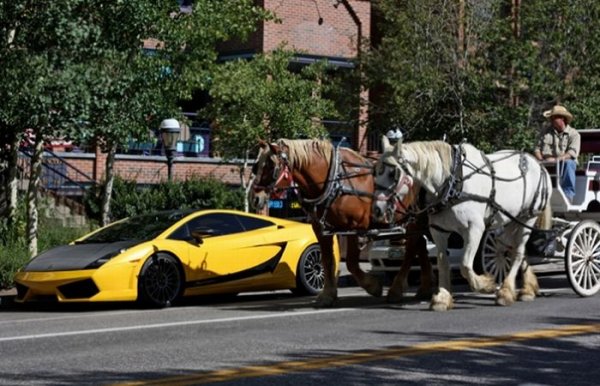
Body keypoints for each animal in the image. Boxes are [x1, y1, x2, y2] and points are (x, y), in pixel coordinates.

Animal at [248, 139, 432, 308]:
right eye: (256, 166)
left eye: (271, 166)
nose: (254, 198)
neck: (334, 181)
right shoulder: (321, 229)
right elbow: (327, 260)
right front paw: (327, 295)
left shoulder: (355, 227)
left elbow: (351, 262)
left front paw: (373, 286)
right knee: (421, 245)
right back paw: (424, 289)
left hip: (413, 220)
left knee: (410, 250)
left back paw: (396, 290)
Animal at [372, 136, 552, 310]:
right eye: (375, 172)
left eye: (392, 173)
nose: (377, 209)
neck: (451, 184)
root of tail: (538, 164)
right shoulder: (438, 230)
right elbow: (443, 264)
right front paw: (442, 298)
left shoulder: (475, 229)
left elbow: (465, 265)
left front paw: (485, 285)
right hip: (510, 220)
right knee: (513, 249)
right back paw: (527, 289)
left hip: (527, 217)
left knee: (518, 252)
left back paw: (505, 292)